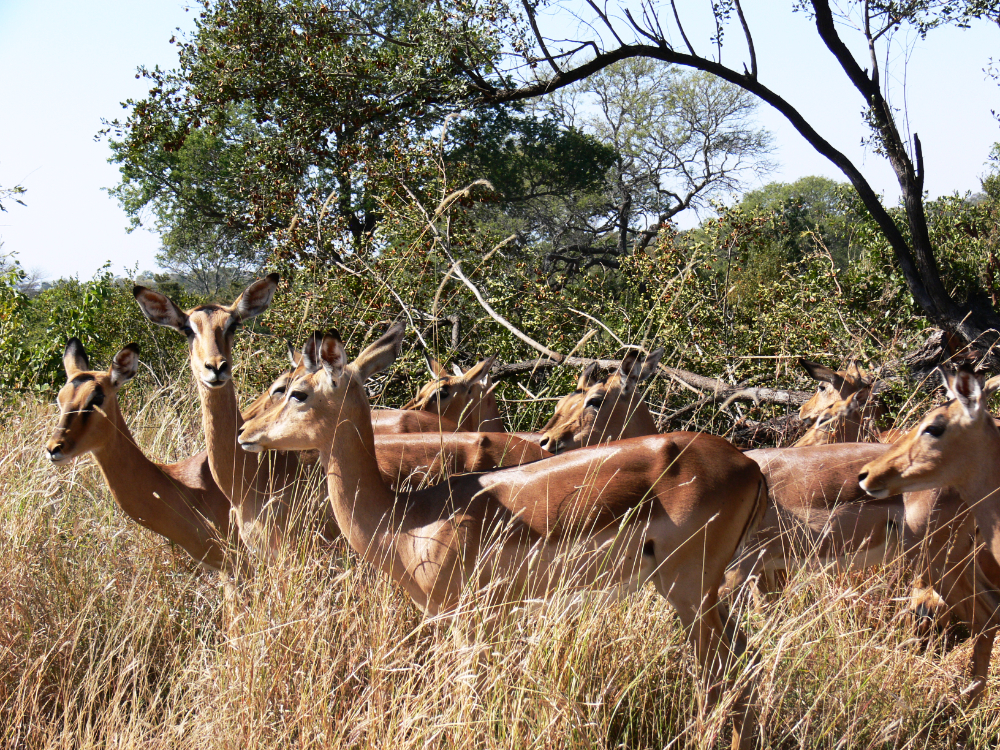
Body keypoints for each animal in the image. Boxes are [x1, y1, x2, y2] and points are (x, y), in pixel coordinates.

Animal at [238, 324, 766, 748]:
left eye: (295, 391)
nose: (246, 432)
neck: (407, 519)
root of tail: (749, 465)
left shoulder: (466, 619)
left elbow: (468, 696)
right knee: (748, 660)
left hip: (688, 591)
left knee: (723, 675)